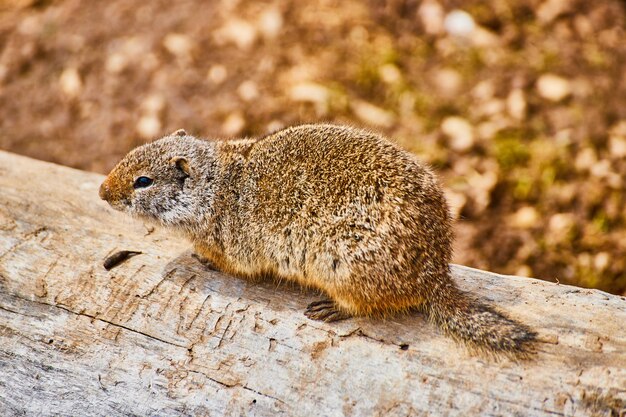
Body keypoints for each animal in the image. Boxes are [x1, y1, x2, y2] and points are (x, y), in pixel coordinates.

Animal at [100, 123, 532, 358]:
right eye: (131, 153)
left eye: (143, 181)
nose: (102, 192)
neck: (217, 185)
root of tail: (435, 274)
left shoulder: (235, 246)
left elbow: (228, 262)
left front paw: (201, 257)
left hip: (343, 267)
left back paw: (332, 308)